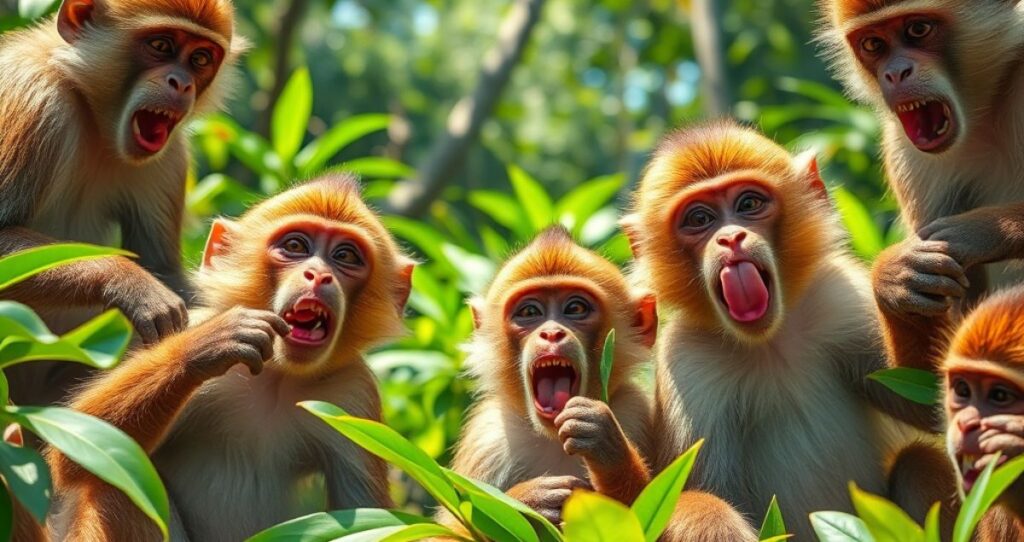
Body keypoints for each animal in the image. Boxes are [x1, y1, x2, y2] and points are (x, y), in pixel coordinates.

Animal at [0, 0, 245, 406]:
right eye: (161, 45)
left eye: (200, 58)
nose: (182, 83)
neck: (89, 108)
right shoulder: (33, 100)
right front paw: (129, 282)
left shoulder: (168, 156)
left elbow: (163, 267)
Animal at [45, 175, 414, 541]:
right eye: (296, 247)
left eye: (346, 256)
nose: (319, 275)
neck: (277, 375)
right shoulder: (192, 324)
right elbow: (72, 453)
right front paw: (213, 343)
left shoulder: (352, 394)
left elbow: (372, 513)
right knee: (111, 480)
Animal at [621, 121, 957, 539]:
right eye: (699, 219)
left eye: (749, 204)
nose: (731, 238)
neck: (769, 341)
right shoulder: (688, 364)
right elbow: (692, 492)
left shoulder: (839, 299)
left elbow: (928, 404)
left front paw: (897, 281)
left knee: (918, 459)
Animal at [817, 0, 1024, 372]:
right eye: (873, 44)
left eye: (917, 29)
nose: (895, 74)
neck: (985, 111)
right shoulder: (906, 150)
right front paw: (893, 277)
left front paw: (980, 231)